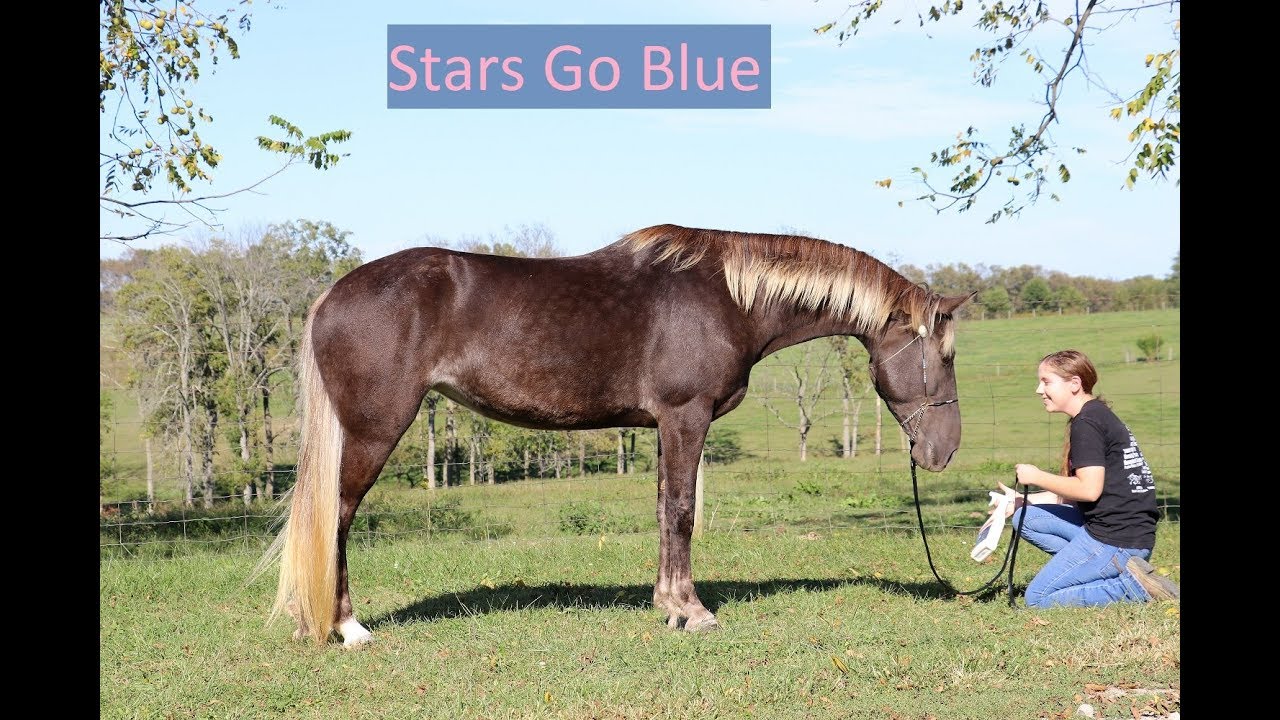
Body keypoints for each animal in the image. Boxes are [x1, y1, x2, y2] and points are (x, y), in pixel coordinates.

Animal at [261, 223, 975, 647]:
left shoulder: (663, 426)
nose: (943, 451)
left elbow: (664, 510)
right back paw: (347, 627)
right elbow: (683, 511)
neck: (728, 296)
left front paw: (669, 603)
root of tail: (330, 297)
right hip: (374, 431)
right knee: (337, 517)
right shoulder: (686, 416)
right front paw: (694, 611)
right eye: (943, 357)